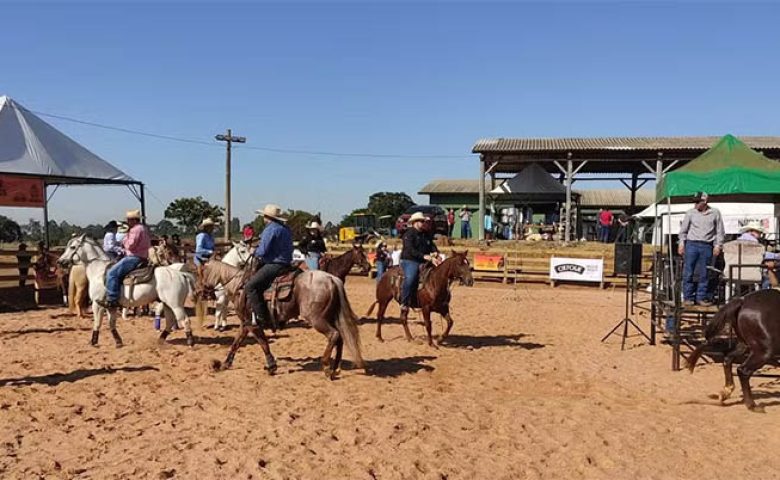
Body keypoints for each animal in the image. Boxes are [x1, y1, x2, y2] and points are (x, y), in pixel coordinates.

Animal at [58, 234, 198, 346]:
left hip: (175, 304)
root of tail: (181, 274)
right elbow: (111, 324)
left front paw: (93, 342)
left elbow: (97, 323)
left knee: (185, 320)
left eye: (72, 247)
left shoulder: (97, 305)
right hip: (167, 304)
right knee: (170, 322)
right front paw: (118, 341)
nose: (60, 261)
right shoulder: (111, 306)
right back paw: (160, 340)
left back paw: (190, 342)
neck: (99, 271)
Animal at [195, 260, 366, 380]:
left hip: (317, 319)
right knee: (340, 338)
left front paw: (271, 366)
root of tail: (331, 279)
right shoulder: (245, 324)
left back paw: (326, 367)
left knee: (334, 335)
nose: (198, 292)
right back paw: (336, 367)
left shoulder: (252, 324)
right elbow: (236, 343)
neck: (239, 287)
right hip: (331, 317)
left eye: (200, 274)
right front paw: (224, 364)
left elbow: (263, 343)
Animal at [688, 286, 780, 414]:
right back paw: (752, 405)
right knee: (743, 370)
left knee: (728, 358)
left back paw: (726, 391)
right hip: (764, 351)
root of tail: (743, 300)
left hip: (745, 345)